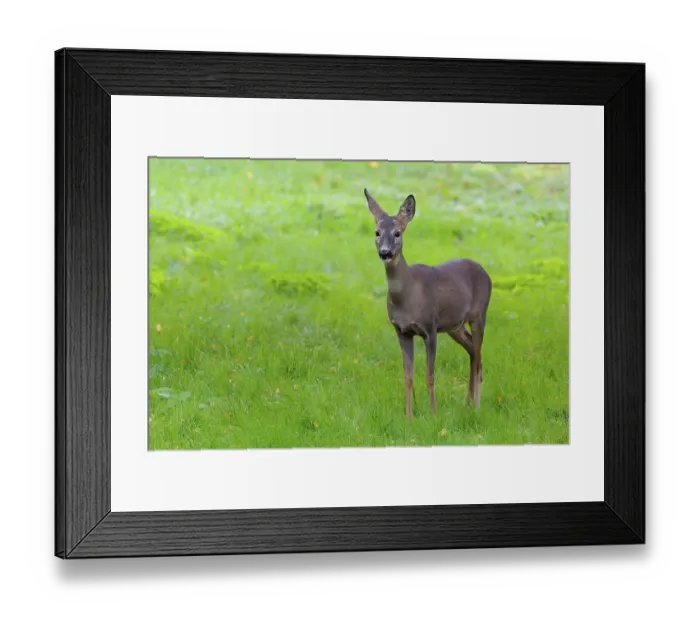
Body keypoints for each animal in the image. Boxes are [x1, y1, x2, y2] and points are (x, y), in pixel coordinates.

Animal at [364, 189, 492, 418]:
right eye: (377, 232)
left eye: (398, 233)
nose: (385, 252)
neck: (408, 298)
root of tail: (486, 273)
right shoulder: (401, 330)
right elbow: (407, 376)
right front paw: (408, 416)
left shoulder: (430, 328)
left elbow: (430, 376)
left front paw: (433, 414)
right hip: (454, 326)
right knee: (472, 350)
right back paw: (467, 402)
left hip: (479, 314)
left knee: (478, 356)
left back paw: (476, 406)